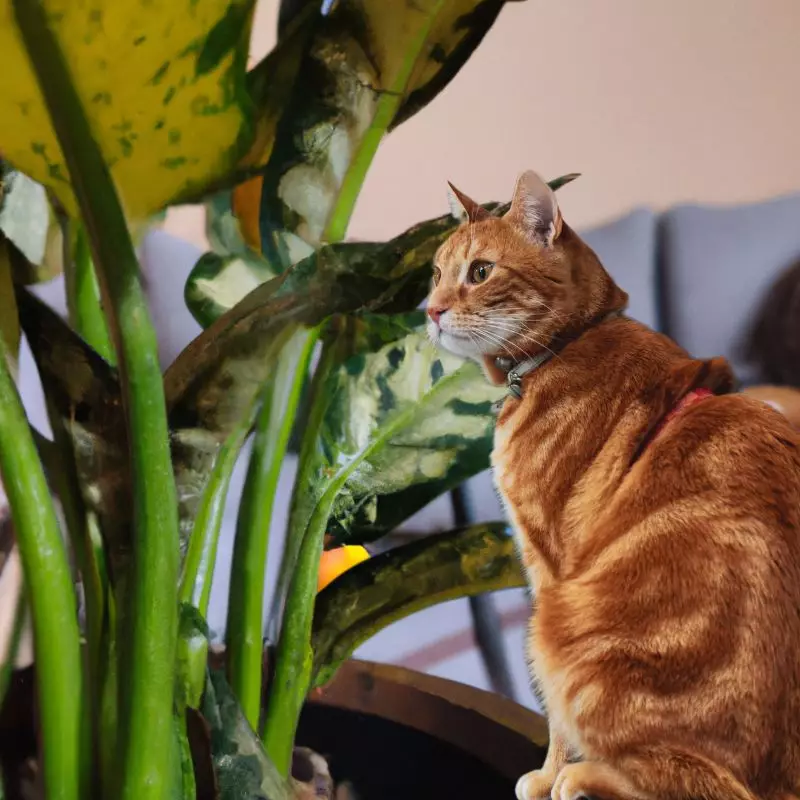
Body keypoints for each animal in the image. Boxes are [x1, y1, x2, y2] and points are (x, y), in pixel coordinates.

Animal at [428, 172, 800, 796]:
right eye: (434, 273)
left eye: (479, 272)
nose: (429, 311)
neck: (569, 344)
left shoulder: (548, 568)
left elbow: (553, 719)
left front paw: (548, 773)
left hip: (560, 632)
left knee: (696, 782)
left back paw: (580, 777)